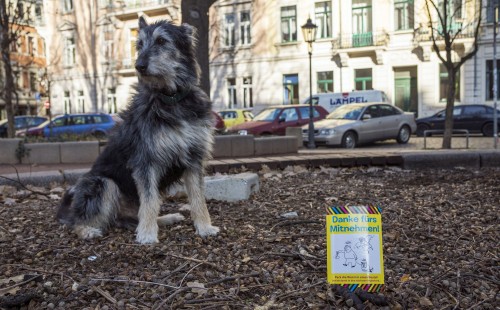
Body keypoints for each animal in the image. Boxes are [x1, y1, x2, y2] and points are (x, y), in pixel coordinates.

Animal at [56, 16, 219, 245]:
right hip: (103, 183)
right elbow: (149, 200)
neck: (170, 98)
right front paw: (148, 235)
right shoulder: (145, 161)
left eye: (161, 41)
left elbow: (198, 198)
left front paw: (204, 227)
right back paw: (88, 230)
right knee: (78, 222)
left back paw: (167, 218)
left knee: (134, 216)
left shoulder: (194, 158)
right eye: (139, 44)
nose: (139, 66)